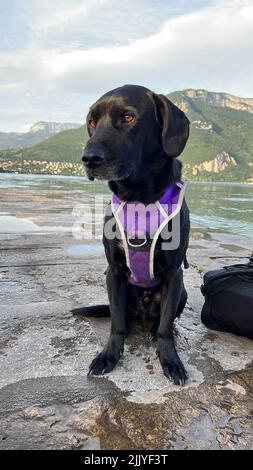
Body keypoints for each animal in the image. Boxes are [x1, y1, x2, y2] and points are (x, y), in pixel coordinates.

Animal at [73, 84, 190, 386]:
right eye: (92, 122)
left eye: (128, 117)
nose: (89, 158)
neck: (140, 199)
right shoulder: (113, 271)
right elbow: (116, 324)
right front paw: (108, 356)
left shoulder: (174, 273)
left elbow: (166, 328)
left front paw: (170, 360)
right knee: (123, 318)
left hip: (182, 292)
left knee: (163, 320)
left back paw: (152, 329)